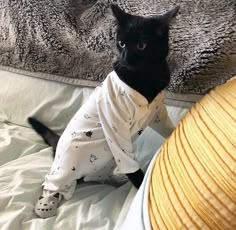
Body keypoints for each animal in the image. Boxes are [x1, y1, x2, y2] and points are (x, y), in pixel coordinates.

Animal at [28, 4, 179, 189]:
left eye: (141, 45)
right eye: (121, 43)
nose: (124, 58)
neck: (147, 75)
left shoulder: (157, 112)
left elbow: (167, 126)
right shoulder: (115, 128)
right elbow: (131, 168)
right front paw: (140, 186)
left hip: (106, 162)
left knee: (92, 177)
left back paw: (115, 180)